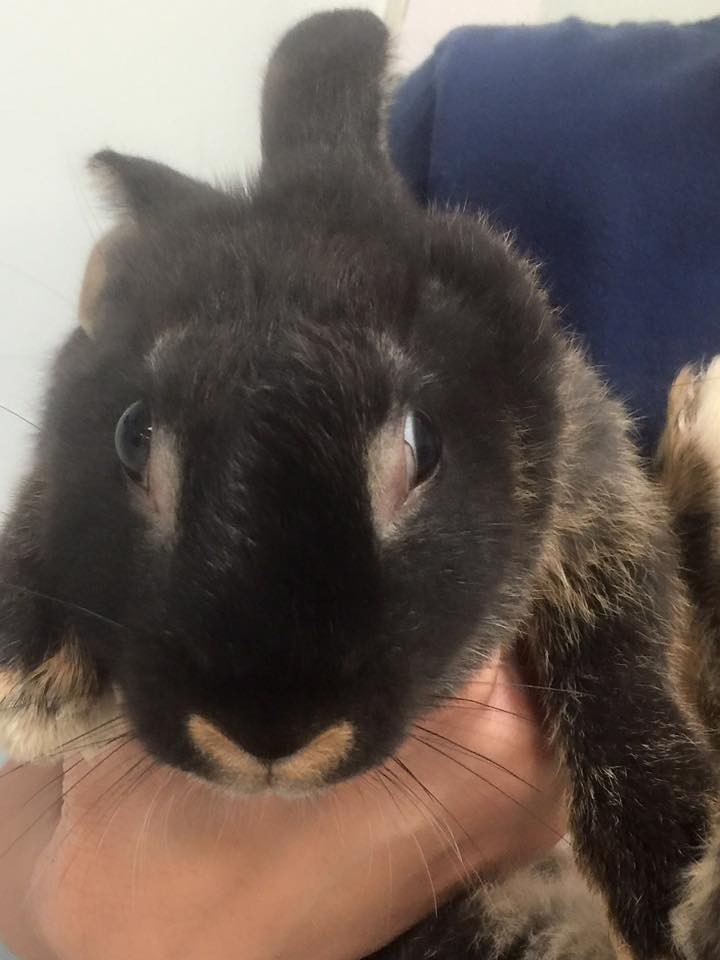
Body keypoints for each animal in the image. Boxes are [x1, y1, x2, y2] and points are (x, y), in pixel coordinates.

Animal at [0, 9, 713, 959]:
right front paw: (27, 673)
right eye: (131, 434)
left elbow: (623, 657)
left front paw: (670, 888)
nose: (266, 735)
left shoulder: (599, 494)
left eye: (422, 445)